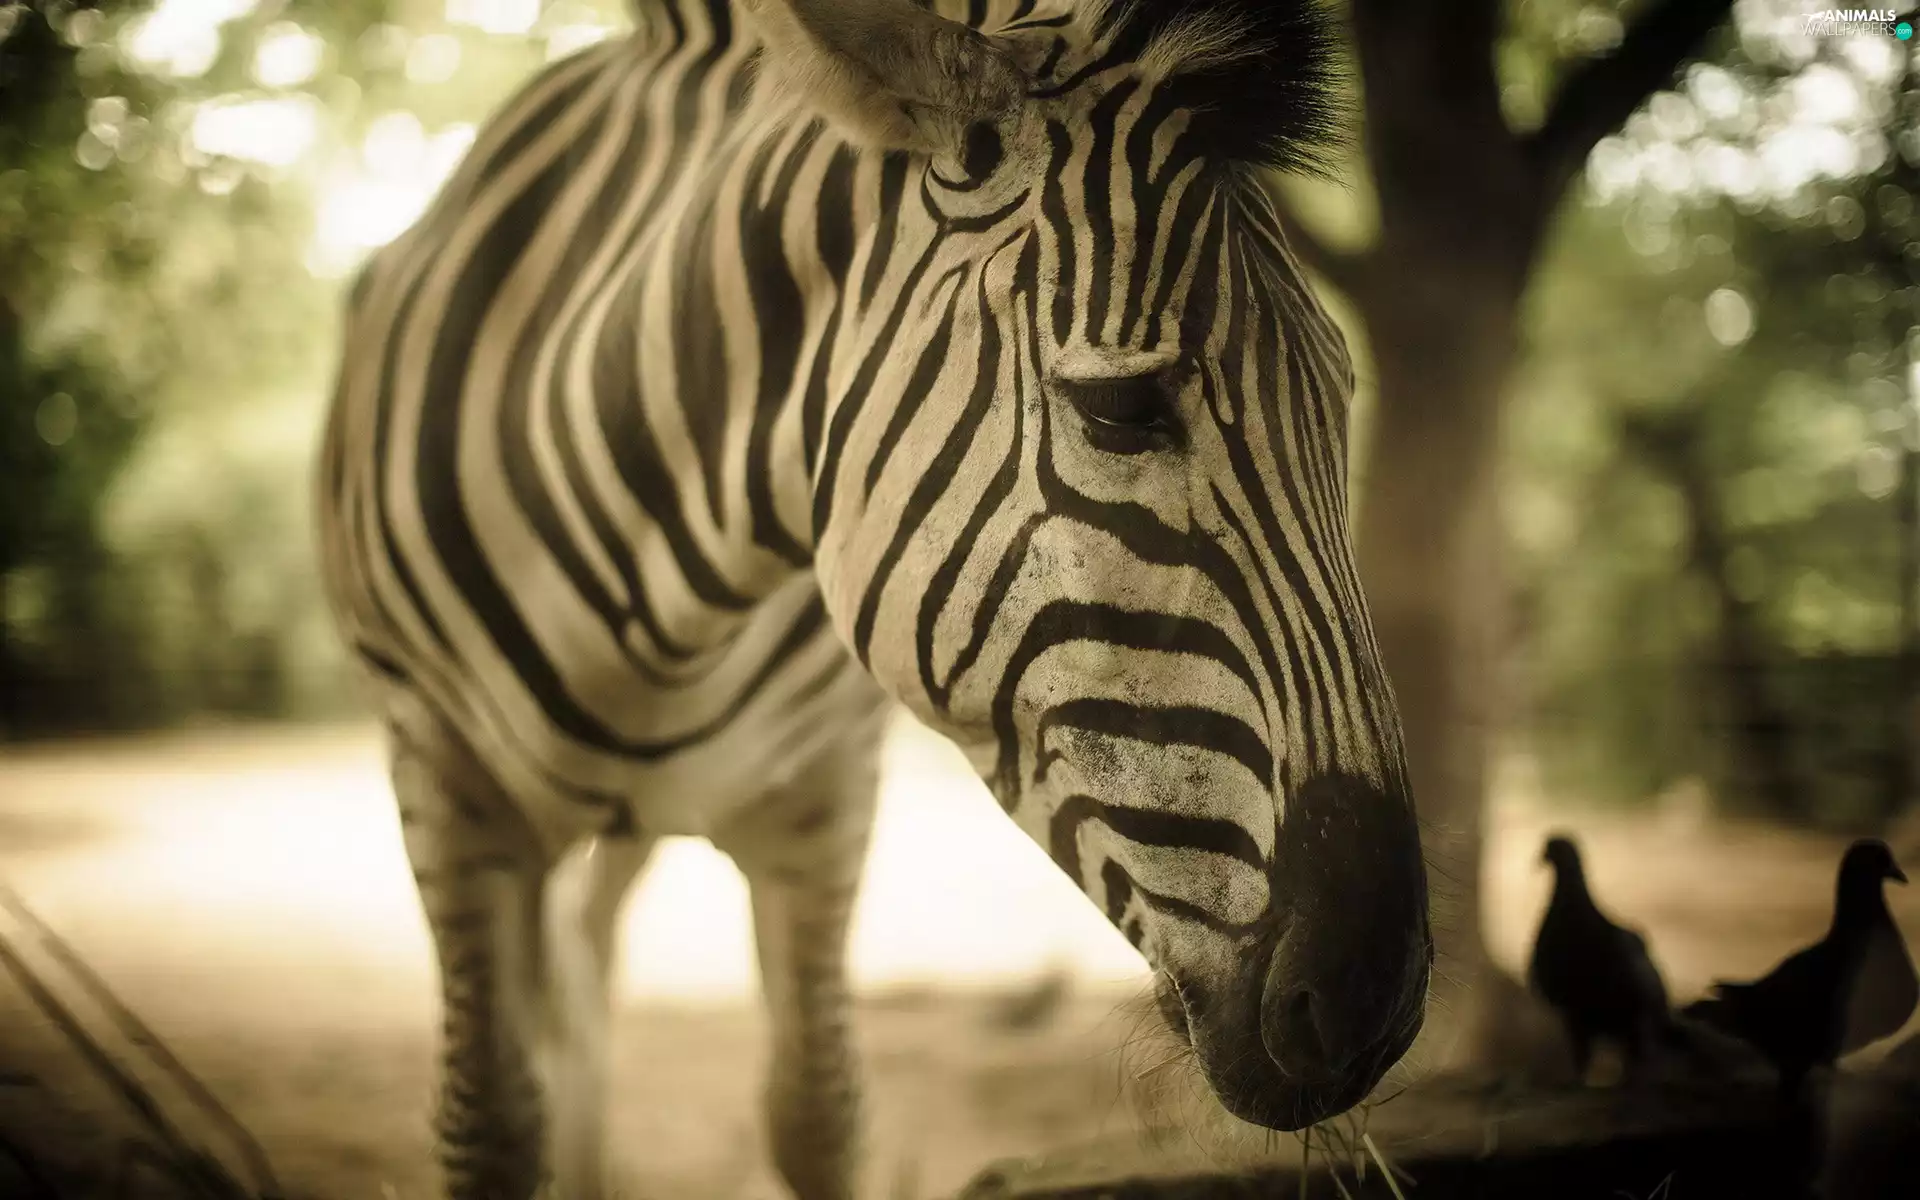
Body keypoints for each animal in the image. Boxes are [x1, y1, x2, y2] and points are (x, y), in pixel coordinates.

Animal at [315, 0, 1433, 1196]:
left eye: (1343, 398)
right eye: (1121, 409)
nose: (1374, 1006)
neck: (661, 611)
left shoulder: (823, 793)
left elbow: (816, 1110)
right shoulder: (442, 778)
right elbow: (488, 1123)